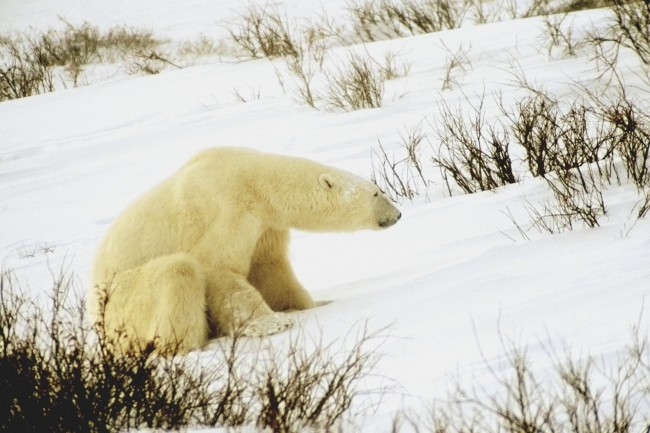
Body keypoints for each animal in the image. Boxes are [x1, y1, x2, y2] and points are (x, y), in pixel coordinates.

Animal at [88, 148, 398, 352]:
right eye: (376, 192)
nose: (397, 215)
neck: (254, 179)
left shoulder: (265, 224)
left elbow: (269, 268)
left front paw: (307, 305)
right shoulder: (226, 209)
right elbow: (217, 268)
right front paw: (273, 324)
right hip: (123, 300)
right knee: (177, 270)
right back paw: (189, 345)